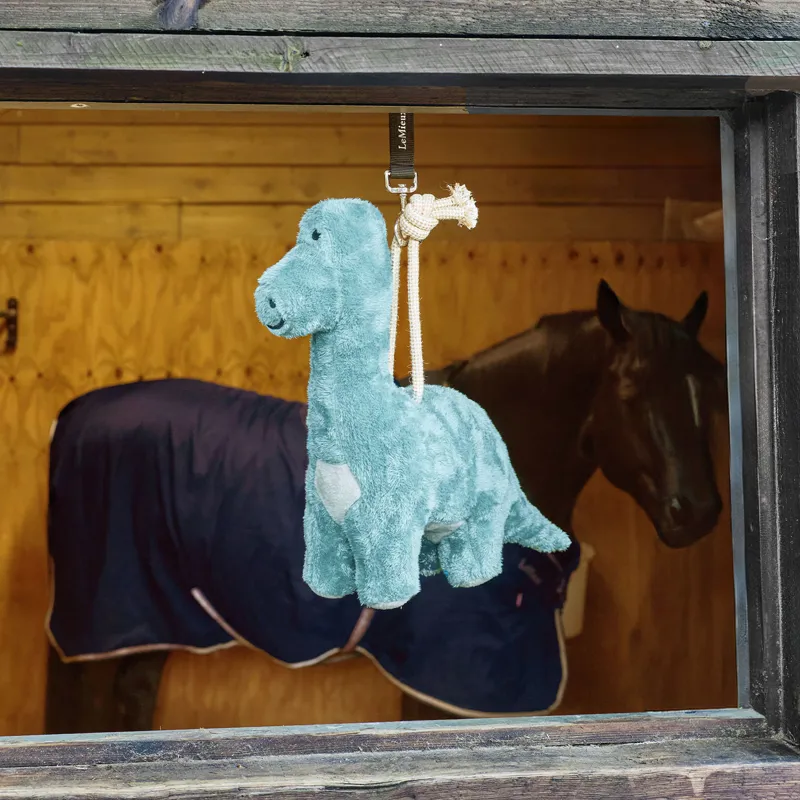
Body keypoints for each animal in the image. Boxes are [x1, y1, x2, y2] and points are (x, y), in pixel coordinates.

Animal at [44, 280, 725, 732]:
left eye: (712, 388)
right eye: (631, 388)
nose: (697, 512)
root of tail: (72, 415)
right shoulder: (447, 679)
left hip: (153, 623)